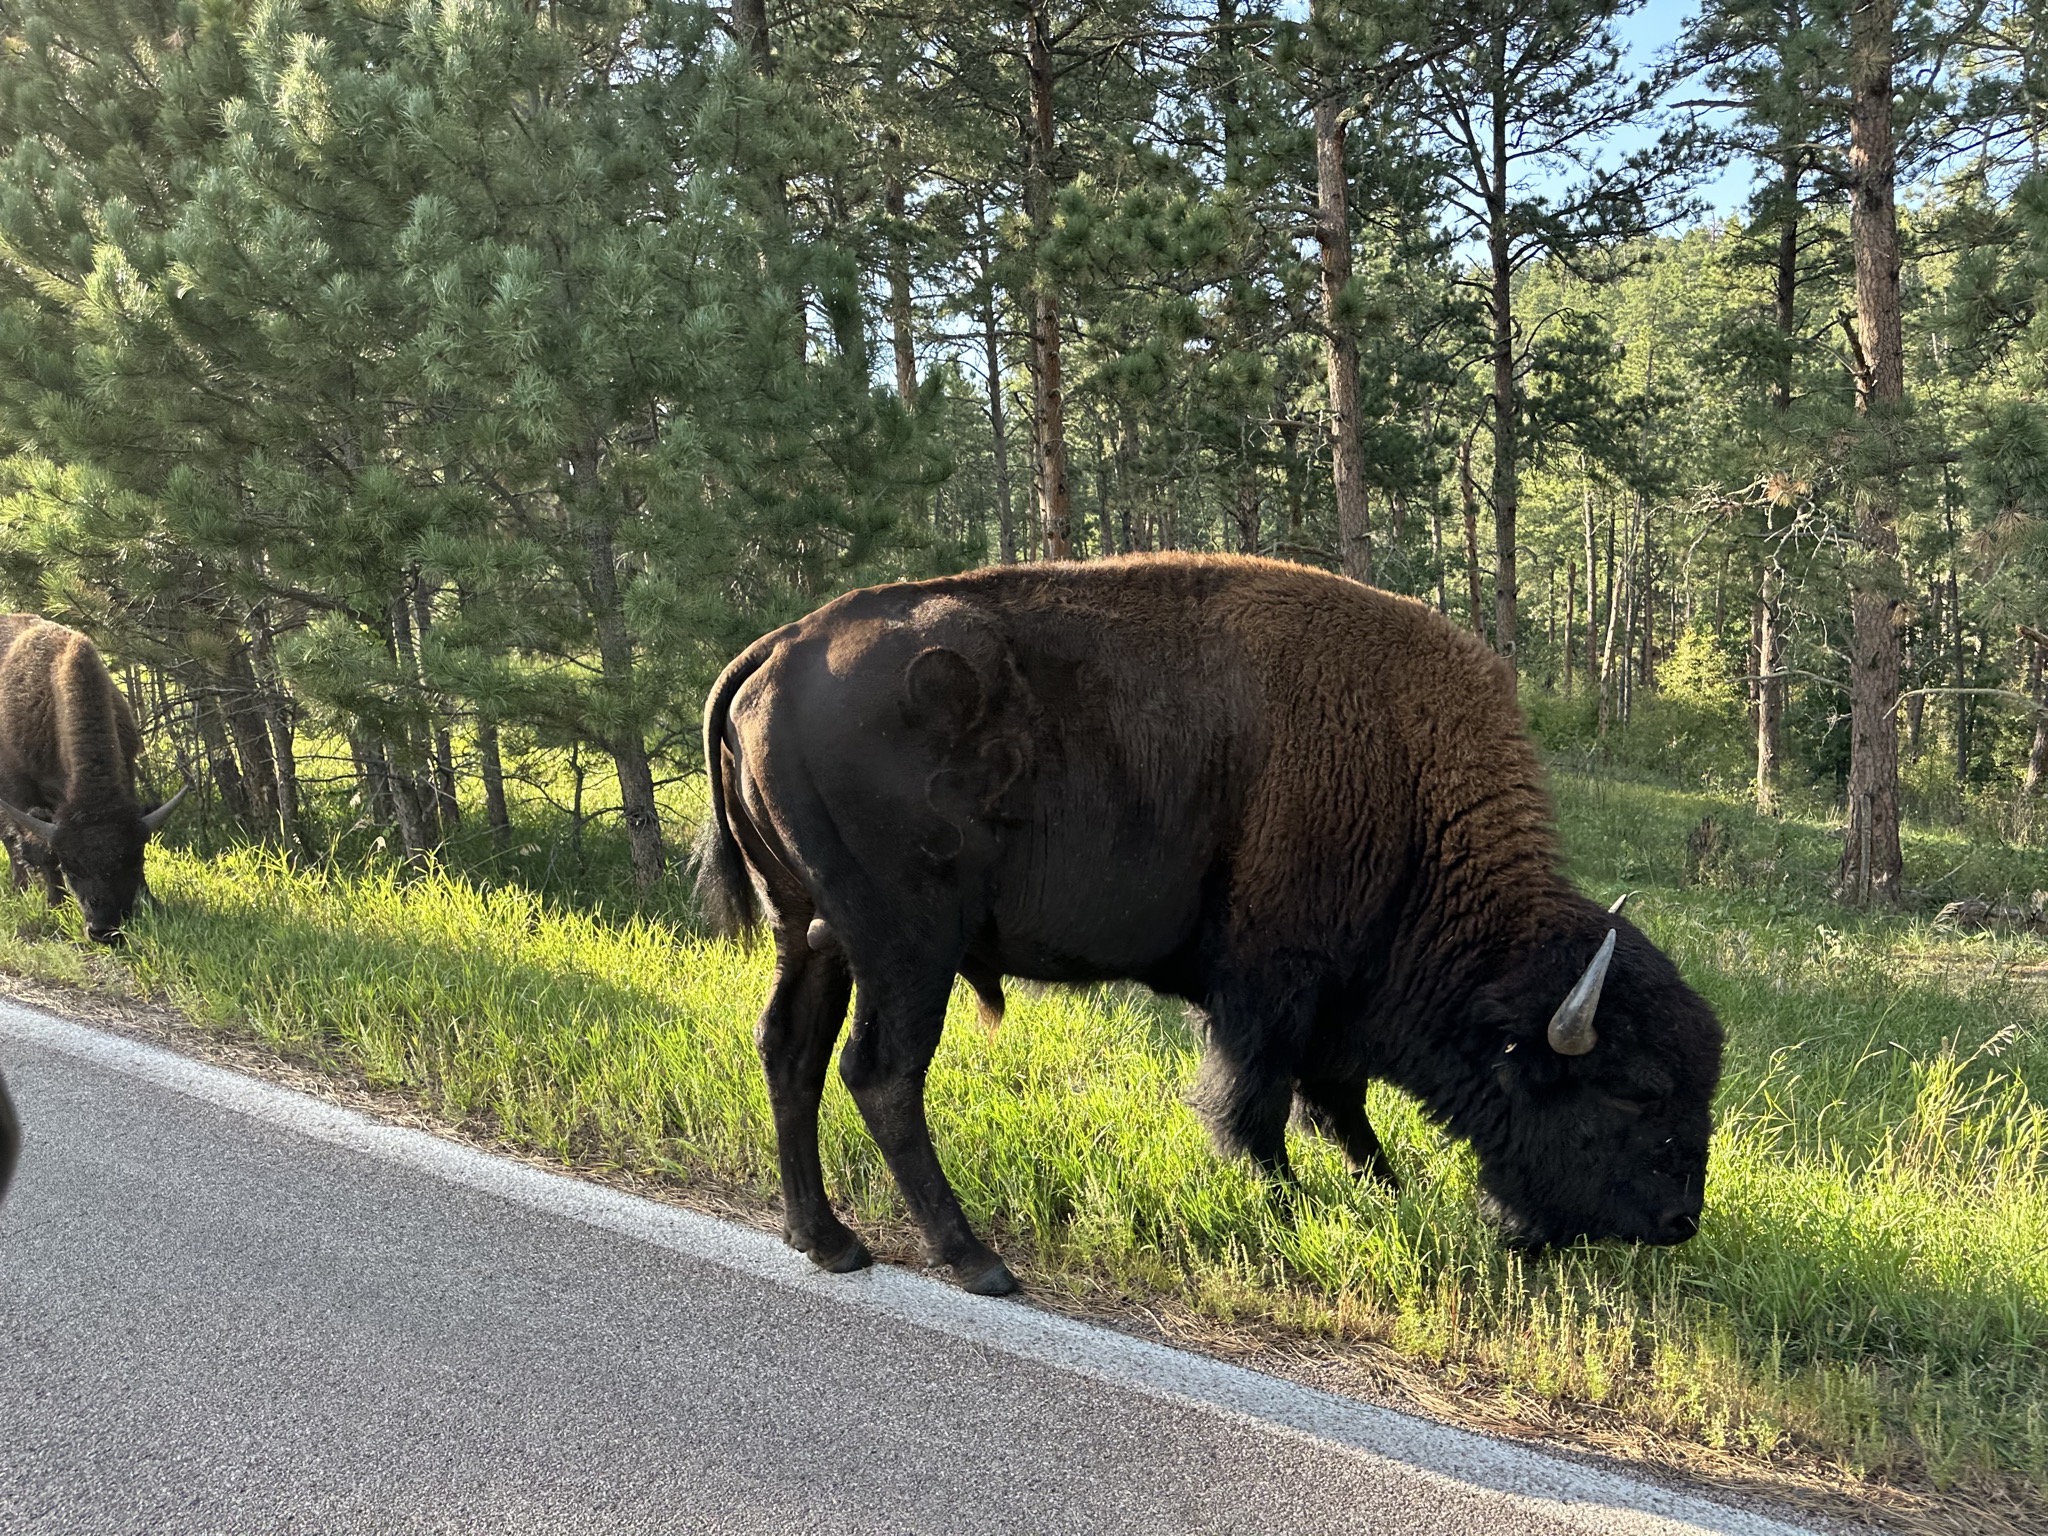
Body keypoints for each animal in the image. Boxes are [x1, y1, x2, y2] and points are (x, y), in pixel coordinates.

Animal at [0, 615, 184, 943]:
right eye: (71, 868)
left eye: (133, 861)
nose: (102, 931)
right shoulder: (20, 794)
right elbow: (38, 848)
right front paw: (55, 905)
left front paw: (152, 903)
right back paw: (20, 886)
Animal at [697, 555, 1724, 1296]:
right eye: (1634, 1091)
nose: (1681, 1221)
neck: (1411, 798)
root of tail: (780, 648)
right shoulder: (1270, 989)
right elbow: (1259, 1106)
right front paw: (1283, 1205)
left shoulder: (1332, 1005)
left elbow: (1340, 1106)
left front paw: (1388, 1189)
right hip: (909, 945)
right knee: (880, 1073)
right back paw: (976, 1260)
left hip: (814, 933)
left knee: (788, 1049)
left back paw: (828, 1240)